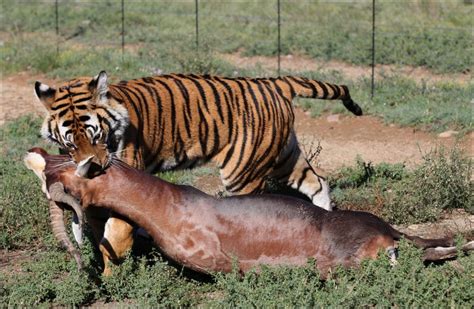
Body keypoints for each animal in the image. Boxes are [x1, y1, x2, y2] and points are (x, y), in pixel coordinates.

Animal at [24, 148, 472, 276]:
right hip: (406, 242)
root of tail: (388, 232)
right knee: (436, 244)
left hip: (343, 265)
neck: (170, 205)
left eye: (65, 187)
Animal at [34, 71, 362, 274]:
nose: (95, 167)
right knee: (318, 183)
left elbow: (115, 233)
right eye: (71, 143)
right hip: (285, 157)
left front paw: (115, 273)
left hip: (243, 172)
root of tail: (274, 82)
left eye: (97, 135)